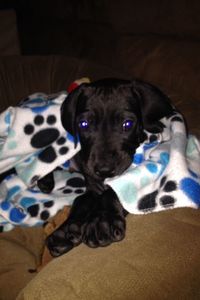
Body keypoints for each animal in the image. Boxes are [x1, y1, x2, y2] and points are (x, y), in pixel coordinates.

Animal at [46, 78, 173, 256]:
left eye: (127, 124)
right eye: (84, 124)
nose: (104, 170)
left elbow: (113, 191)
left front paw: (102, 221)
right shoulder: (92, 185)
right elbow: (81, 199)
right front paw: (64, 231)